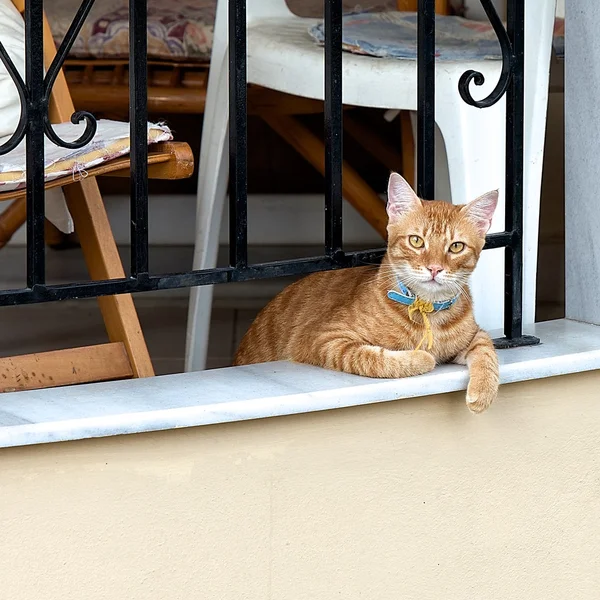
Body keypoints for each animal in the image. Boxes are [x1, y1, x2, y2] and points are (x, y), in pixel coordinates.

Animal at [234, 172, 502, 412]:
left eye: (456, 247)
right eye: (416, 241)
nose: (435, 268)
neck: (427, 309)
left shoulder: (473, 334)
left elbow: (486, 347)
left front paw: (484, 390)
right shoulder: (324, 339)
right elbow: (375, 358)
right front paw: (422, 358)